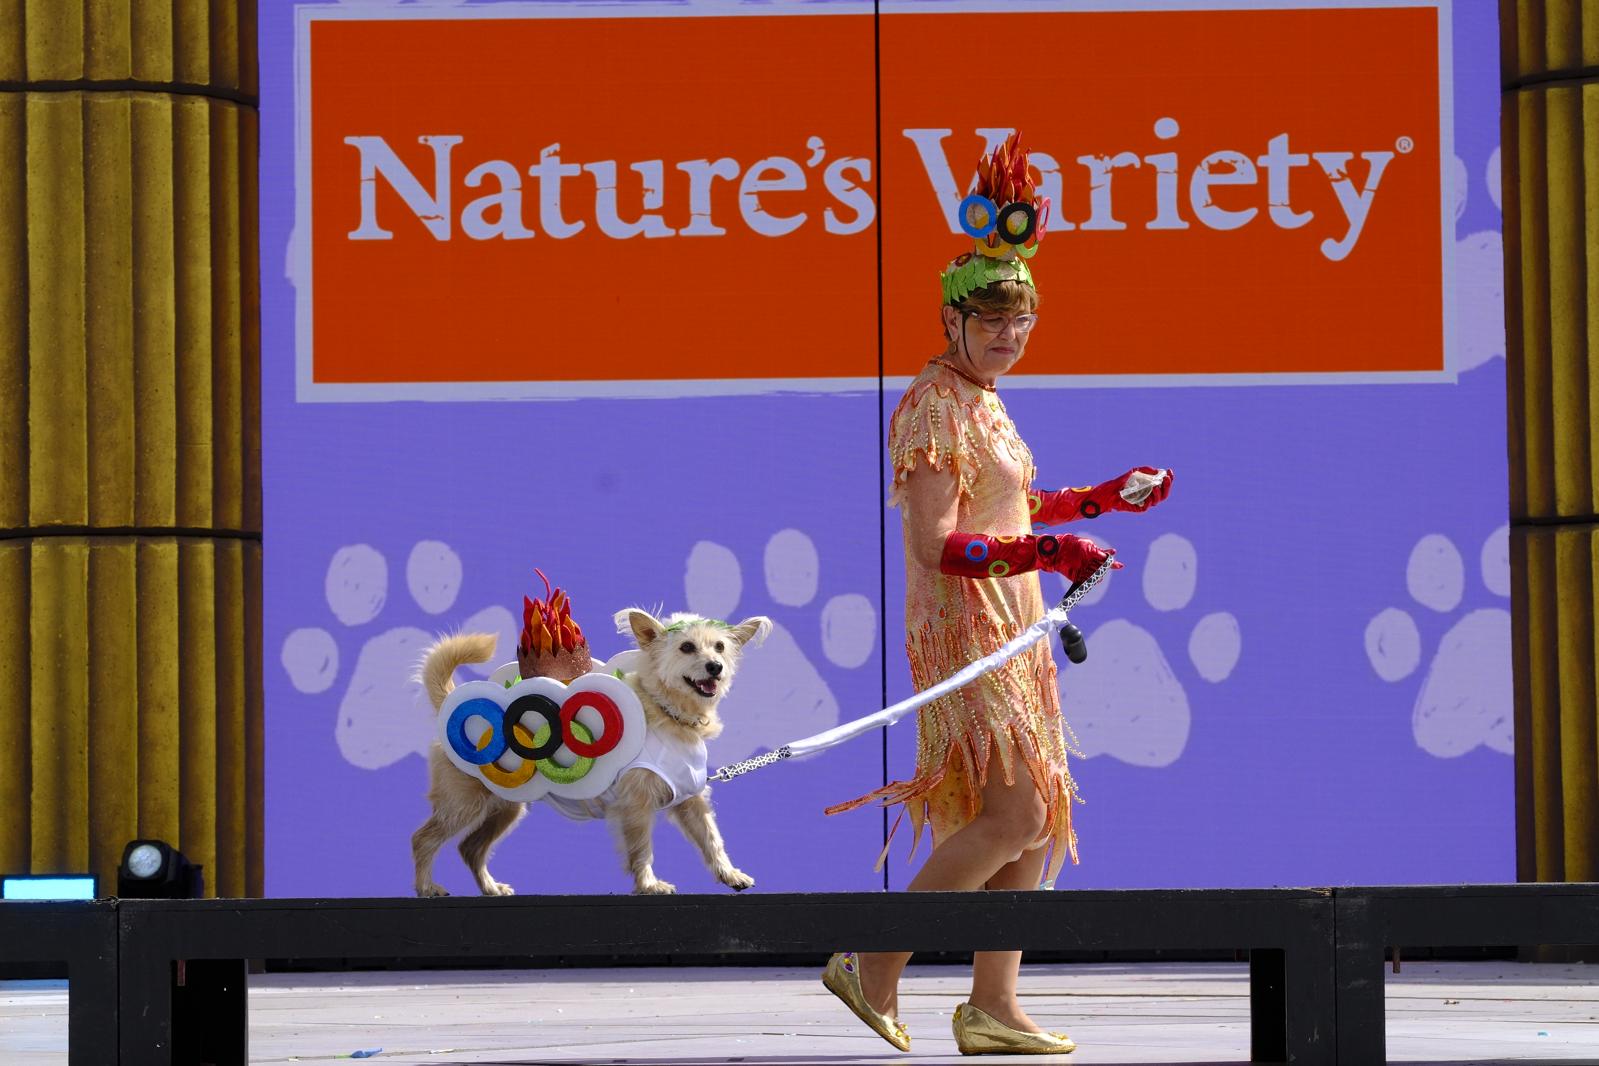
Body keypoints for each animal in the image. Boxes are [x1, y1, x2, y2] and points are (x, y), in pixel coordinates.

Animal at [406, 607, 767, 901]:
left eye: (720, 647)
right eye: (686, 647)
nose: (715, 667)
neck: (669, 713)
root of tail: (449, 703)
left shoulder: (691, 799)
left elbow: (712, 840)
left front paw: (730, 874)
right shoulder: (636, 804)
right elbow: (641, 848)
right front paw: (649, 884)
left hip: (505, 807)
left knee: (470, 848)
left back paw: (490, 887)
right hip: (463, 804)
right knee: (422, 839)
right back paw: (426, 887)